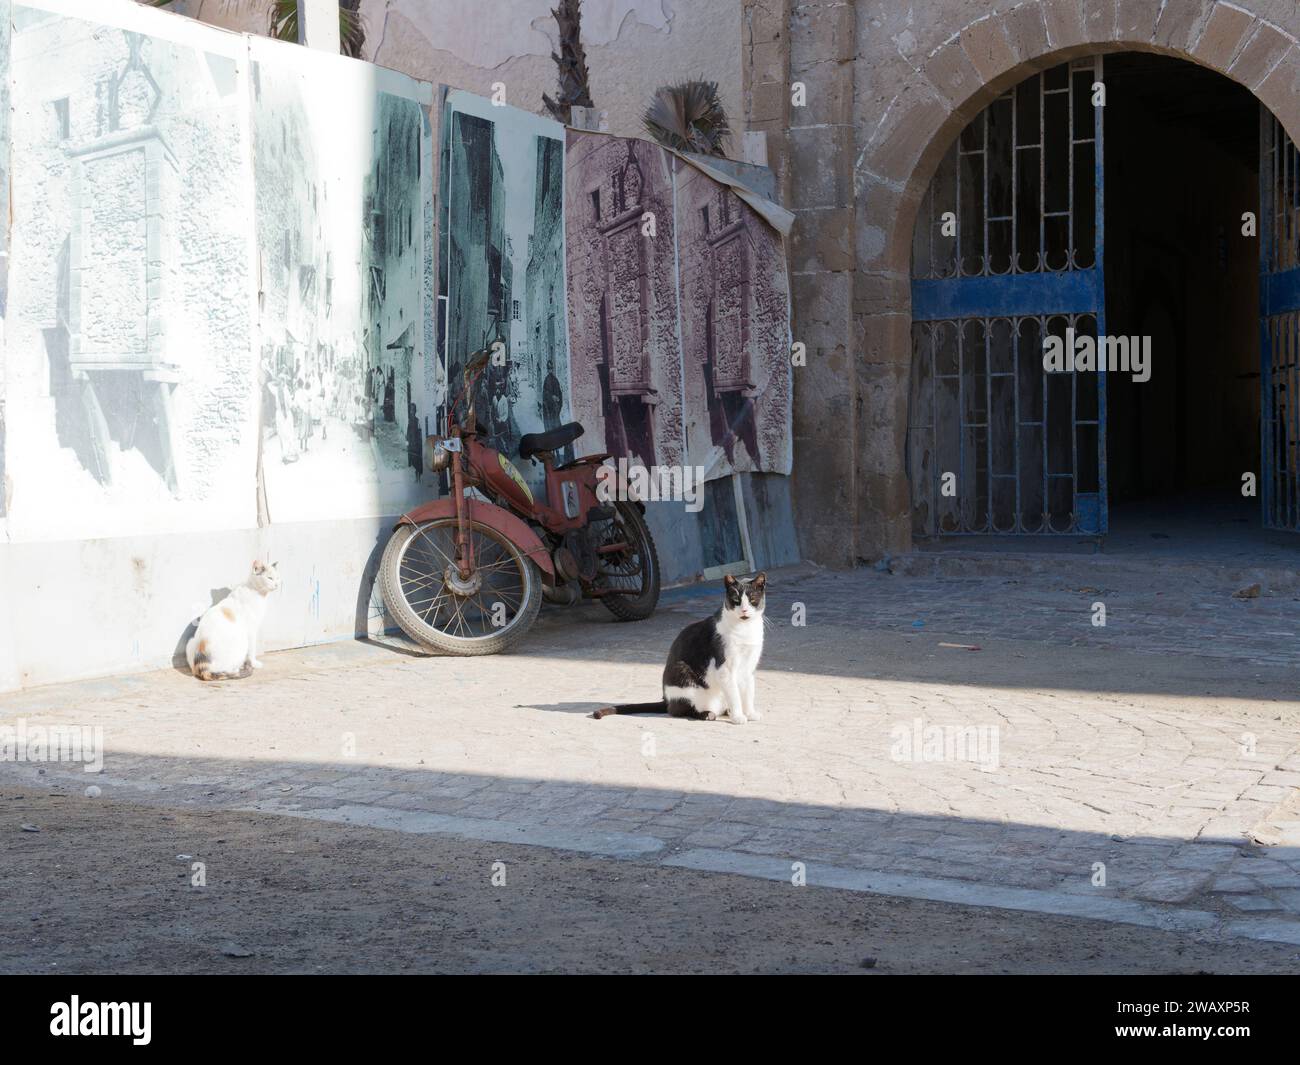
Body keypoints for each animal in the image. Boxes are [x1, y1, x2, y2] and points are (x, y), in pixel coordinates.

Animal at [595, 574, 764, 723]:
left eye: (753, 600)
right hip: (682, 674)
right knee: (679, 710)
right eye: (736, 600)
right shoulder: (725, 669)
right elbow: (735, 696)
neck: (745, 629)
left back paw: (726, 711)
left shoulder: (749, 667)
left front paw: (750, 713)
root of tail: (666, 699)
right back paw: (706, 714)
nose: (744, 610)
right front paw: (738, 717)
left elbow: (748, 693)